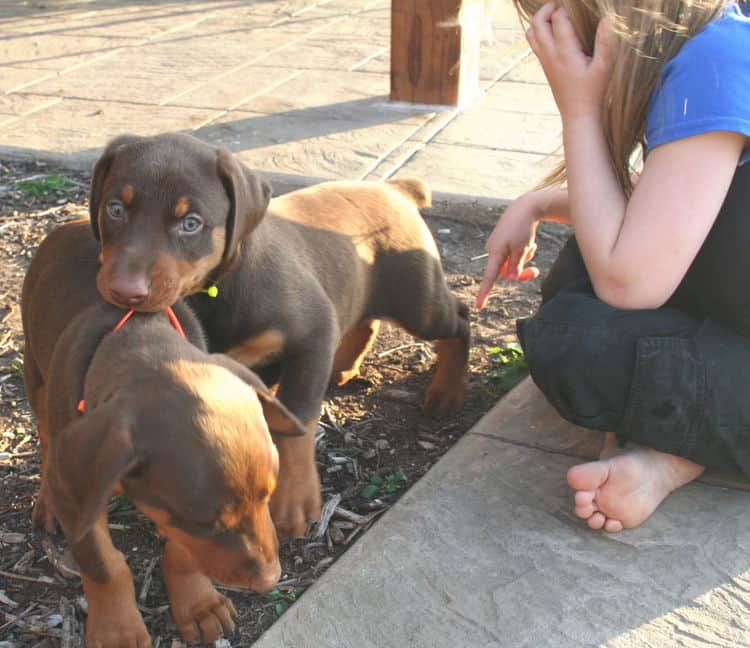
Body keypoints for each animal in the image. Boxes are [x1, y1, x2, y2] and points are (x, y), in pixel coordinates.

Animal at [22, 221, 306, 644]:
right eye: (207, 523)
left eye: (268, 496)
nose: (270, 580)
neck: (138, 335)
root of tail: (68, 224)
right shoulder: (83, 496)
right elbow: (104, 566)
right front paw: (118, 632)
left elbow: (184, 552)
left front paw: (200, 604)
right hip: (36, 376)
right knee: (44, 441)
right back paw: (47, 501)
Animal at [67, 132, 470, 536]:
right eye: (115, 209)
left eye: (191, 223)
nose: (124, 290)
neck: (216, 290)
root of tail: (395, 189)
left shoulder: (313, 331)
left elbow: (297, 423)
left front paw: (293, 502)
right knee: (365, 320)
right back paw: (344, 367)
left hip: (419, 303)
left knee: (460, 319)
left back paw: (448, 392)